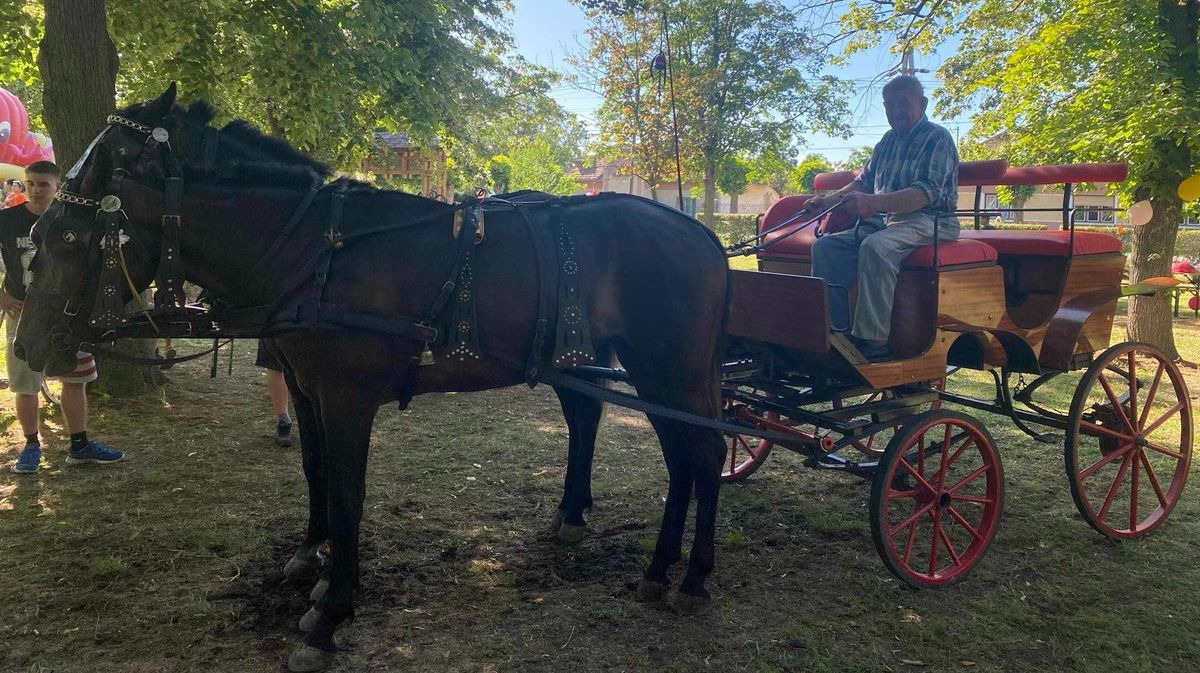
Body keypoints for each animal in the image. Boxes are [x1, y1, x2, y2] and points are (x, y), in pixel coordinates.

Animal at [16, 86, 729, 671]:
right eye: (43, 233)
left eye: (69, 236)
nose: (29, 344)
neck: (313, 249)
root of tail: (704, 235)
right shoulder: (306, 390)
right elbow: (317, 476)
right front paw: (315, 564)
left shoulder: (346, 400)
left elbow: (347, 496)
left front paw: (330, 612)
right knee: (652, 443)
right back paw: (643, 557)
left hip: (667, 370)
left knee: (702, 451)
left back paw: (690, 574)